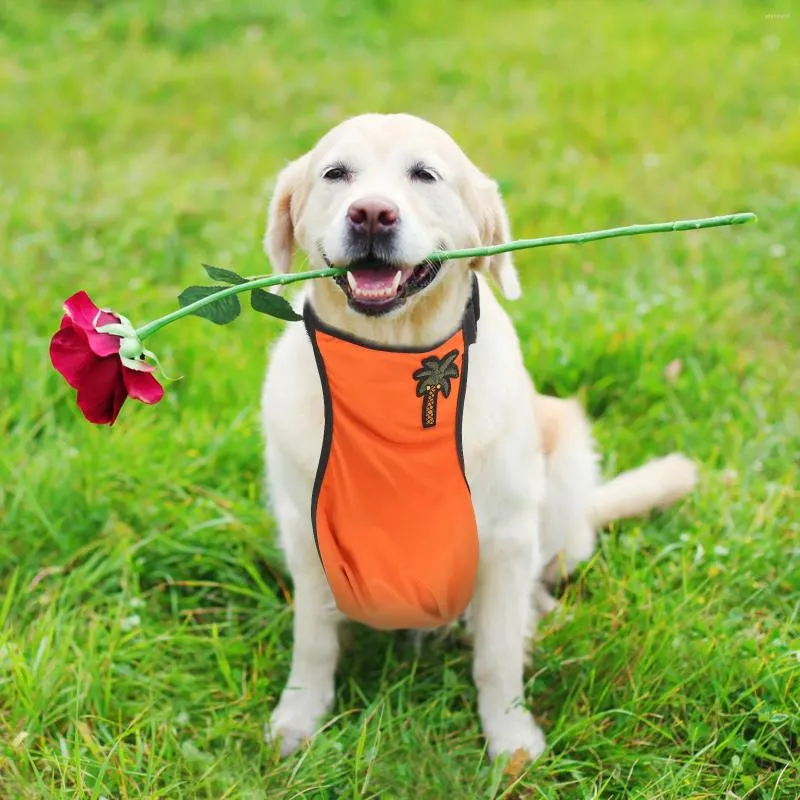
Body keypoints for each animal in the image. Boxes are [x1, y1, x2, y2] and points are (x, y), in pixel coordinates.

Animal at [260, 112, 696, 764]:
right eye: (336, 173)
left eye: (424, 174)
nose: (371, 214)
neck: (392, 365)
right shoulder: (307, 536)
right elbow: (314, 642)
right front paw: (298, 718)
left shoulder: (507, 537)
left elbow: (497, 653)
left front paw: (510, 736)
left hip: (563, 460)